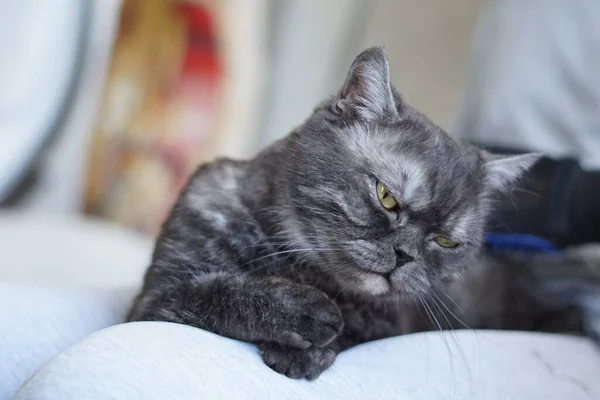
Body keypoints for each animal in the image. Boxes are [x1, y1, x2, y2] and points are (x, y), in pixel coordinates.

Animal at [129, 47, 548, 378]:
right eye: (386, 197)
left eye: (445, 241)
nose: (405, 255)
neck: (293, 268)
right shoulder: (156, 300)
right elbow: (220, 292)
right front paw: (307, 311)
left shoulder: (392, 319)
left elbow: (359, 321)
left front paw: (307, 348)